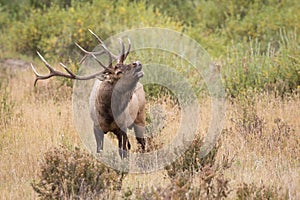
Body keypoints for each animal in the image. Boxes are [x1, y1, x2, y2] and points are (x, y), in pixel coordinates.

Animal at [31, 30, 146, 158]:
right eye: (119, 72)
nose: (137, 63)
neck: (108, 114)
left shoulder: (123, 127)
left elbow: (123, 153)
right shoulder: (96, 127)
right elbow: (99, 151)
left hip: (140, 118)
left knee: (142, 143)